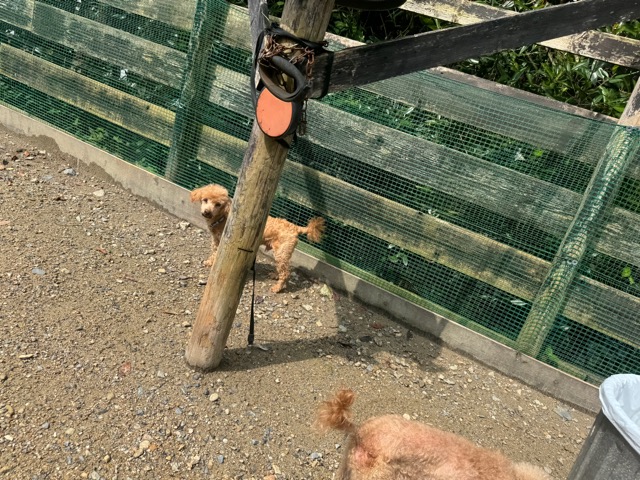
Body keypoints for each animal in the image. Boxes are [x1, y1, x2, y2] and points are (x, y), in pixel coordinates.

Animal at [190, 184, 325, 293]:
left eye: (218, 204)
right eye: (205, 200)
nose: (207, 212)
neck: (223, 217)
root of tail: (296, 228)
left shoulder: (224, 241)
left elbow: (217, 254)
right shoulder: (216, 240)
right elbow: (213, 252)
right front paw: (210, 262)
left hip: (281, 252)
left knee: (286, 272)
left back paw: (277, 288)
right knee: (283, 269)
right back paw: (275, 275)